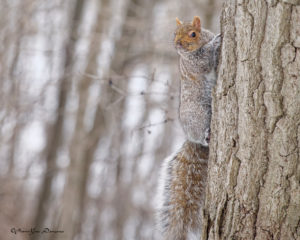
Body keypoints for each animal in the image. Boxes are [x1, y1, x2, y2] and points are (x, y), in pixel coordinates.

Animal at [157, 15, 220, 239]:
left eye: (192, 33)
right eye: (174, 33)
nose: (177, 44)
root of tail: (190, 136)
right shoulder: (194, 63)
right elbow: (204, 61)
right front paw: (216, 42)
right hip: (199, 116)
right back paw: (207, 135)